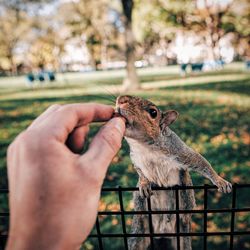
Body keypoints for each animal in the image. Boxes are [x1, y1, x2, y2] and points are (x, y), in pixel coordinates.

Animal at [114, 95, 231, 250]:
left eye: (153, 112)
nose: (120, 100)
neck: (145, 147)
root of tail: (163, 231)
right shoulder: (136, 160)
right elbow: (141, 173)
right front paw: (144, 184)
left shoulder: (180, 151)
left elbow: (201, 162)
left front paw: (220, 180)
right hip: (139, 232)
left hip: (183, 230)